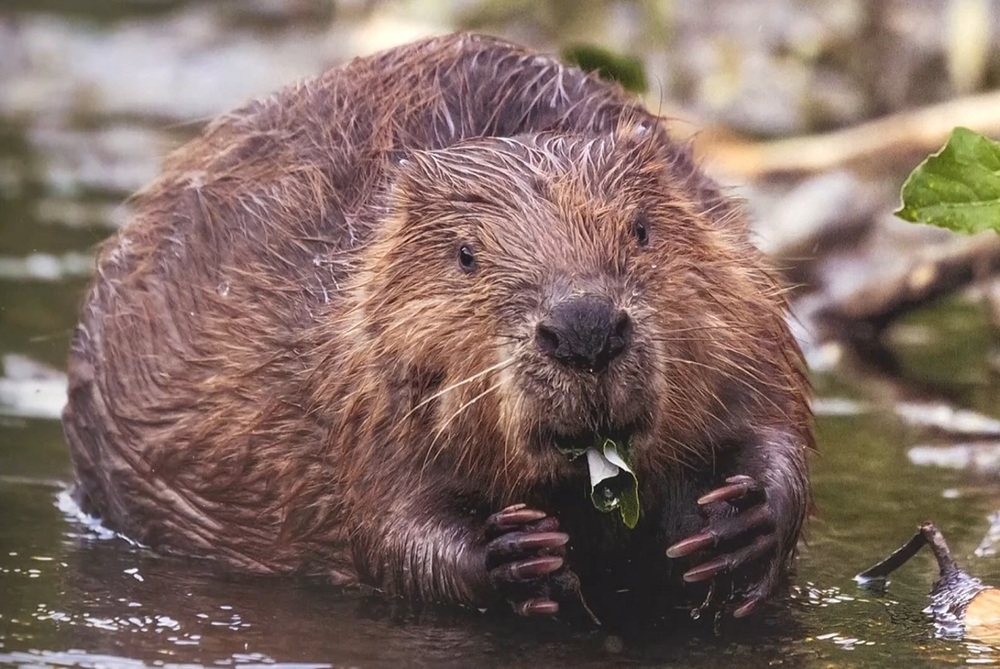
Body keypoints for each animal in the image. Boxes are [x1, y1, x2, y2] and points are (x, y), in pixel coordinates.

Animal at [60, 35, 812, 620]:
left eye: (642, 228)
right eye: (467, 254)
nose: (584, 329)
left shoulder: (745, 304)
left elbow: (779, 427)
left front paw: (737, 521)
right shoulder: (356, 382)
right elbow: (389, 528)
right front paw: (517, 553)